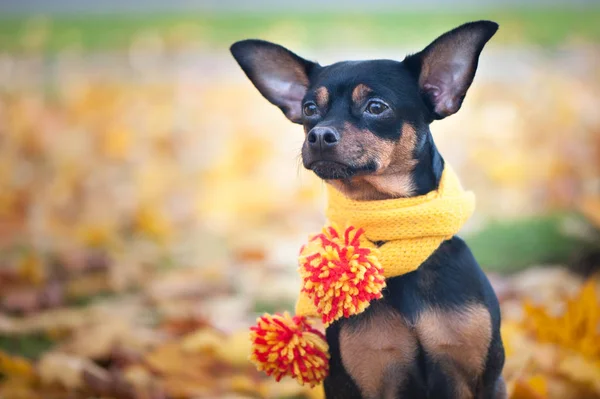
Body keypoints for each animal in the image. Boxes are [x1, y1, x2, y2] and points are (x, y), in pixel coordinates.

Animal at [232, 21, 504, 399]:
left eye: (376, 107)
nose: (318, 135)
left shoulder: (480, 378)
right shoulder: (368, 377)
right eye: (309, 109)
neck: (392, 230)